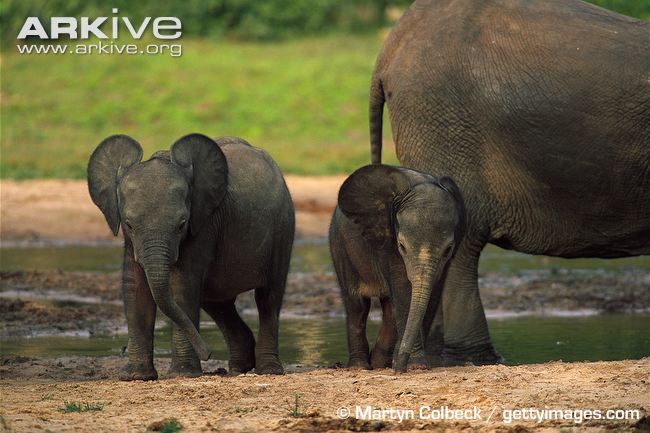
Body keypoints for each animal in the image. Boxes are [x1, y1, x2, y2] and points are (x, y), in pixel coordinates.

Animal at [88, 133, 294, 380]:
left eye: (181, 224)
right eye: (128, 224)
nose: (208, 353)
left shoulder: (203, 222)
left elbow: (182, 285)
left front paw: (183, 374)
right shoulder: (131, 241)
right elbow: (134, 286)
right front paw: (136, 376)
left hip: (282, 228)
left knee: (268, 298)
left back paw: (268, 370)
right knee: (219, 304)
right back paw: (239, 368)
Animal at [329, 164, 466, 372]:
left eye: (448, 249)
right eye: (401, 246)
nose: (399, 368)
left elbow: (431, 295)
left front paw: (414, 366)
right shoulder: (388, 241)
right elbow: (403, 292)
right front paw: (416, 366)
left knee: (387, 310)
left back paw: (380, 364)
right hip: (340, 245)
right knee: (357, 305)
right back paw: (360, 367)